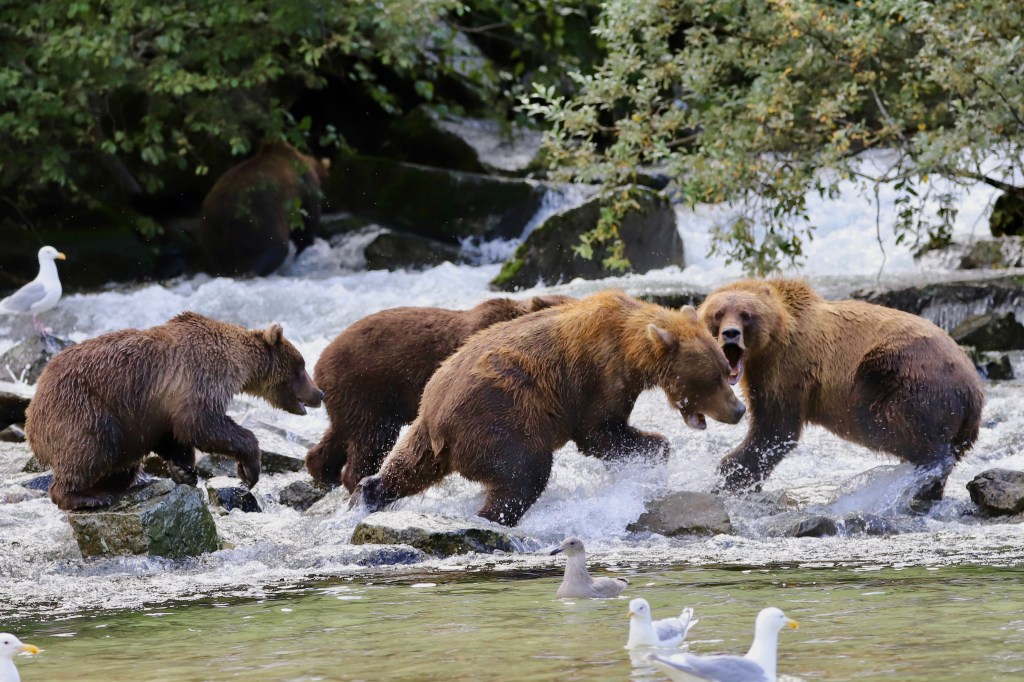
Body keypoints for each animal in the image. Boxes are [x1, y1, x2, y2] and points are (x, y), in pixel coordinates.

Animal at [24, 311, 324, 510]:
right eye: (301, 366)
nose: (319, 393)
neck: (239, 363)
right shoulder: (202, 375)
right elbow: (202, 423)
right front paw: (249, 469)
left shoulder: (159, 406)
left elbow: (173, 433)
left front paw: (183, 470)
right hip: (81, 408)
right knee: (93, 446)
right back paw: (87, 496)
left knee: (121, 458)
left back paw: (111, 485)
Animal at [198, 140, 330, 277]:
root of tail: (224, 209)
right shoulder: (305, 193)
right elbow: (306, 224)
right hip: (257, 217)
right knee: (275, 247)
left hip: (211, 230)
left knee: (219, 262)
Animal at [305, 295, 574, 491]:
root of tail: (319, 363)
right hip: (367, 389)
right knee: (371, 438)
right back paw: (354, 479)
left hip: (350, 398)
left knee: (339, 434)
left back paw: (324, 472)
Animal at [355, 290, 747, 526]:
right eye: (713, 377)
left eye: (724, 370)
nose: (739, 410)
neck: (633, 350)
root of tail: (439, 416)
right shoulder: (600, 377)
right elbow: (600, 431)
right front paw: (652, 454)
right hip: (499, 422)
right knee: (525, 473)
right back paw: (493, 516)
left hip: (428, 425)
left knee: (411, 463)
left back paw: (370, 491)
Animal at [697, 278, 985, 503]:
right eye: (718, 313)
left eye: (745, 314)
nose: (730, 334)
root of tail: (973, 389)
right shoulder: (764, 370)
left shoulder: (789, 367)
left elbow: (774, 428)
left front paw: (727, 474)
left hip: (900, 377)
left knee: (889, 423)